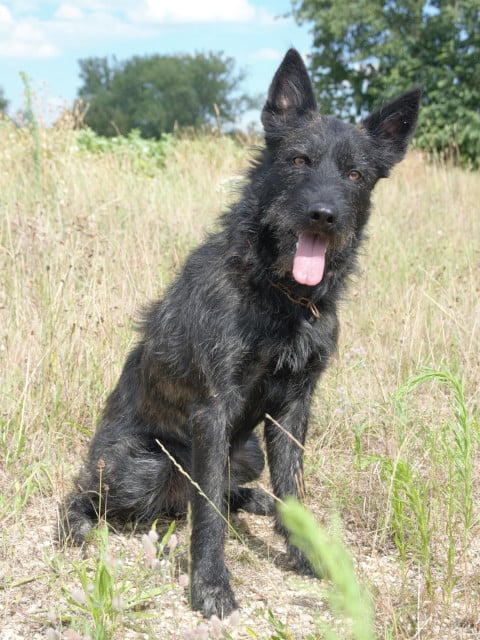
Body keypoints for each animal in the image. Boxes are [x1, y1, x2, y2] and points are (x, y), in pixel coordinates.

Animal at [59, 49, 420, 618]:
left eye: (356, 174)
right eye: (298, 160)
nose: (324, 215)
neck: (282, 296)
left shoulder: (293, 408)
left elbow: (293, 488)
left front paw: (308, 554)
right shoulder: (214, 409)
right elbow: (206, 511)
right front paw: (210, 586)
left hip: (246, 451)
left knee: (228, 490)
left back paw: (253, 500)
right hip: (146, 467)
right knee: (88, 494)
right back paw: (76, 525)